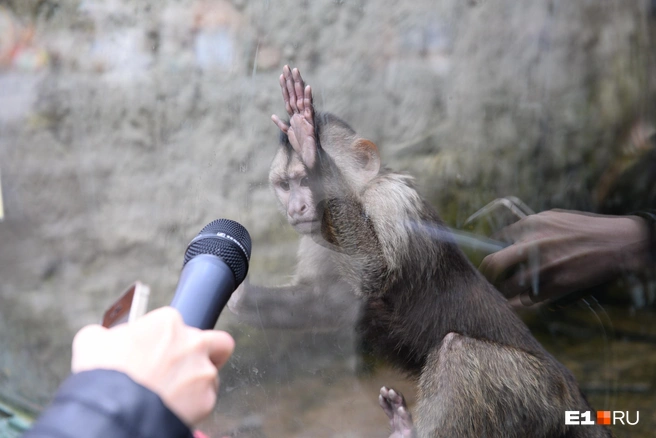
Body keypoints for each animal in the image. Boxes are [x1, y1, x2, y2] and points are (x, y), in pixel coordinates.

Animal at [231, 66, 608, 438]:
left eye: (306, 181)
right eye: (286, 185)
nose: (296, 206)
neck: (359, 194)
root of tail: (573, 396)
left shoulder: (390, 199)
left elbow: (376, 274)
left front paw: (311, 151)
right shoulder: (315, 236)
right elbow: (328, 300)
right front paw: (238, 294)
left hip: (537, 395)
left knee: (459, 352)